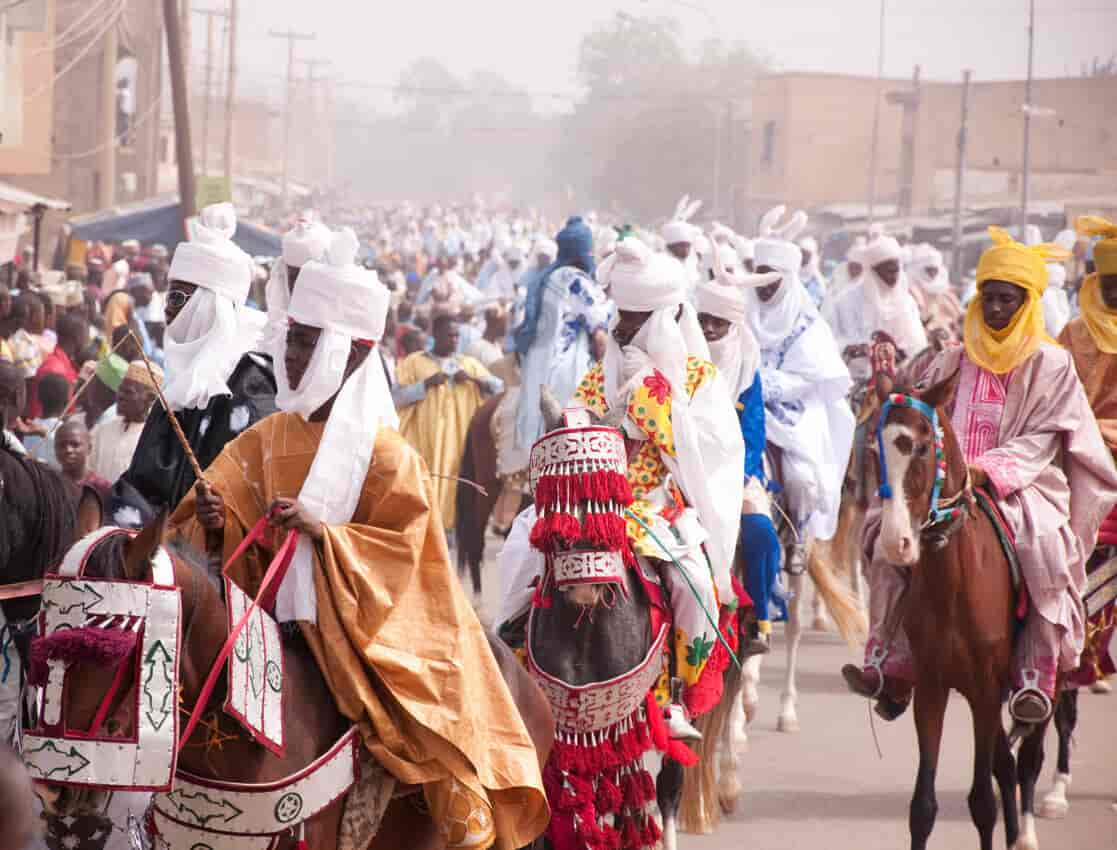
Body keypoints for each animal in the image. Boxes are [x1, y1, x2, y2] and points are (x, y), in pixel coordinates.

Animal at [871, 375, 1054, 848]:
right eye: (875, 451)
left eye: (920, 447)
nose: (896, 542)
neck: (955, 583)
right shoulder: (932, 686)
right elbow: (923, 808)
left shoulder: (985, 689)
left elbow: (982, 803)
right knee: (1004, 766)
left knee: (1026, 759)